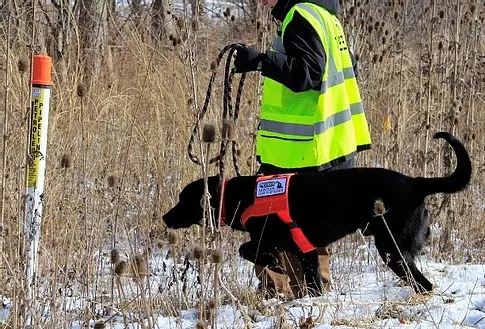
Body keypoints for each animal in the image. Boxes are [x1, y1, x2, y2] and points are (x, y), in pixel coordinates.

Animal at [163, 132, 468, 294]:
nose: (165, 218)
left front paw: (272, 263)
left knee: (423, 283)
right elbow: (312, 282)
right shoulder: (306, 249)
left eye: (183, 200)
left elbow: (247, 248)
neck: (241, 196)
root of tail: (416, 182)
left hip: (393, 248)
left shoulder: (277, 237)